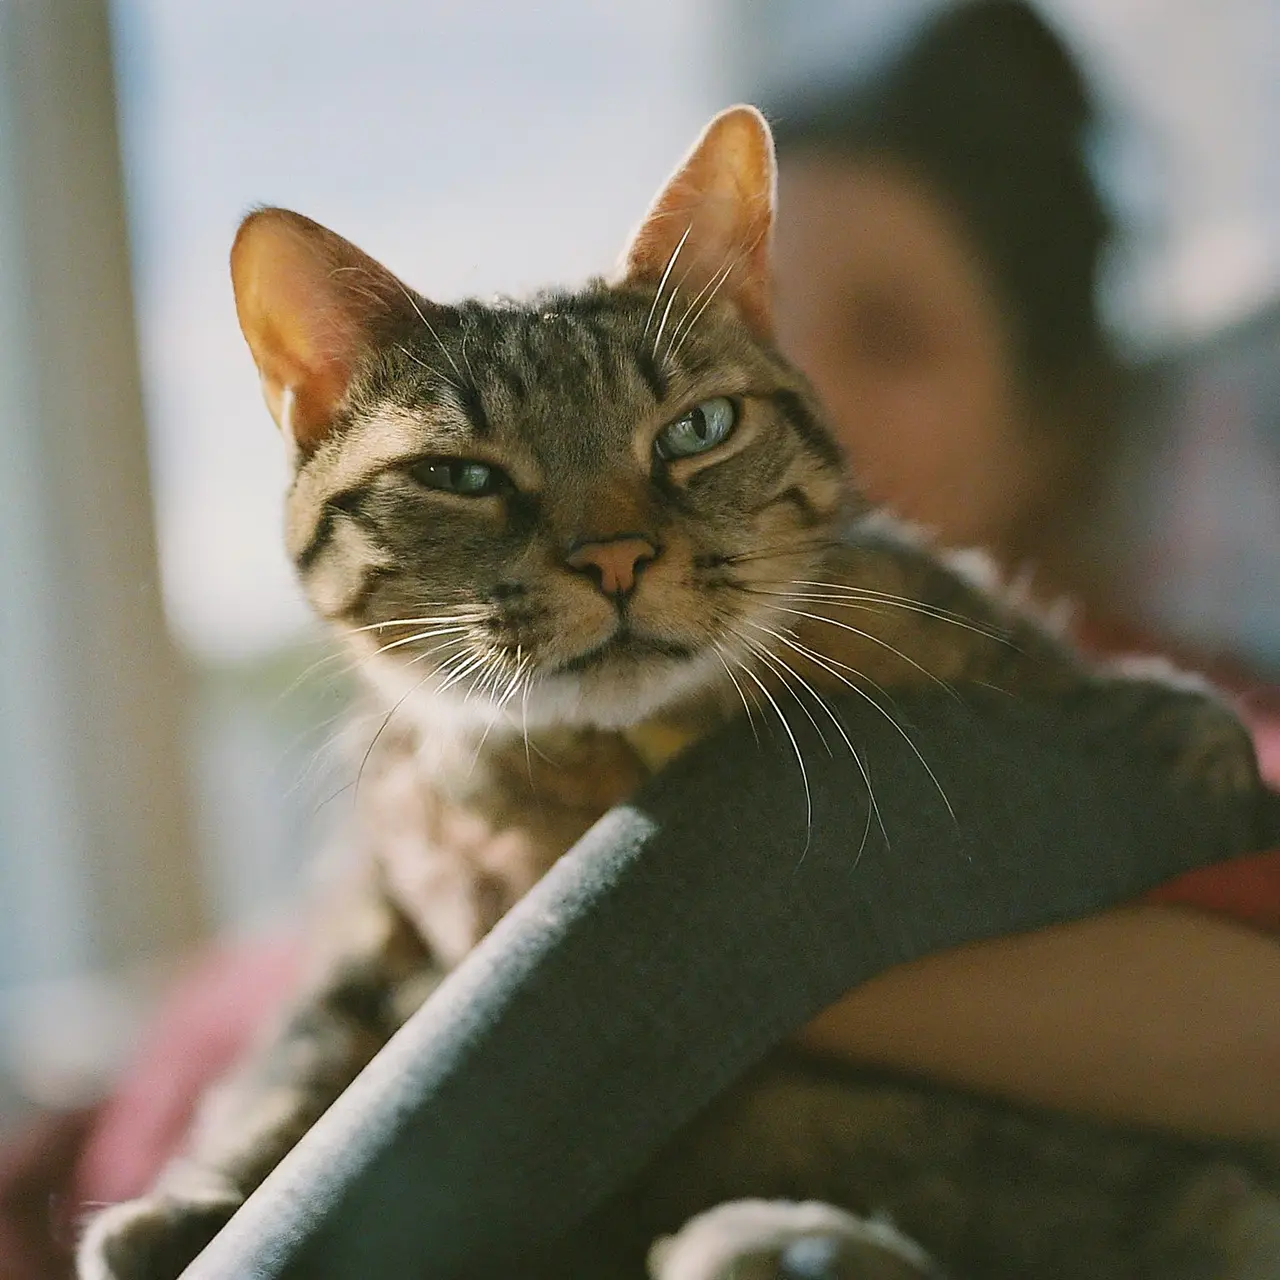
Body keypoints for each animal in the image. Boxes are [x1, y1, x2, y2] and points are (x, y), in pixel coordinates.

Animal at [80, 107, 1280, 1280]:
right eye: (461, 475)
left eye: (697, 430)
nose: (613, 556)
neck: (638, 744)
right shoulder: (366, 908)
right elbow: (286, 1065)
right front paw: (184, 1207)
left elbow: (1056, 666)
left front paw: (1167, 717)